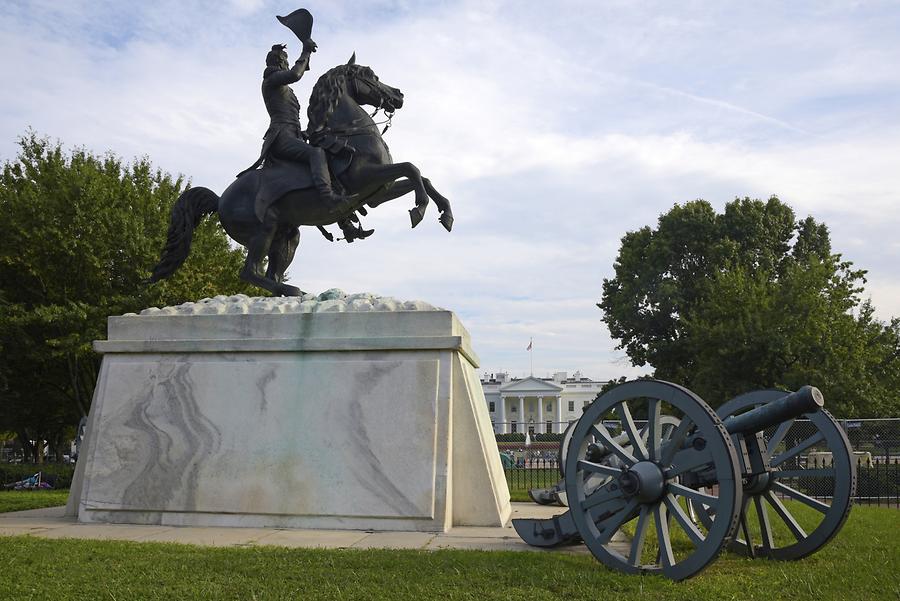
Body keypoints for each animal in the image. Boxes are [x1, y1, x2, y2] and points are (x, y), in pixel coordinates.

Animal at [152, 55, 458, 296]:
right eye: (372, 76)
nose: (399, 95)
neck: (352, 134)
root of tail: (220, 200)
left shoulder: (378, 193)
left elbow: (421, 177)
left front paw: (445, 214)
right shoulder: (366, 179)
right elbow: (412, 168)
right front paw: (419, 209)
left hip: (287, 237)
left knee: (270, 272)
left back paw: (290, 292)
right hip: (263, 230)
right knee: (250, 272)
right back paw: (290, 290)